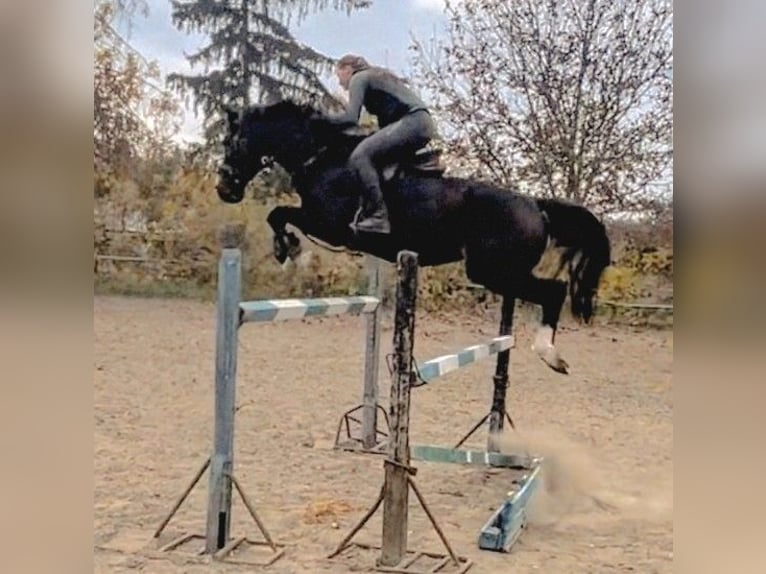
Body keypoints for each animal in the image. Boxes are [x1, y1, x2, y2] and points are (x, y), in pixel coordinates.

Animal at [215, 99, 611, 374]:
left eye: (232, 141)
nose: (224, 189)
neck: (321, 156)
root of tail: (535, 205)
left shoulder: (329, 224)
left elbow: (278, 214)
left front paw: (290, 251)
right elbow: (278, 214)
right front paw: (290, 250)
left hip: (493, 272)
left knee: (554, 291)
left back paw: (550, 355)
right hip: (500, 273)